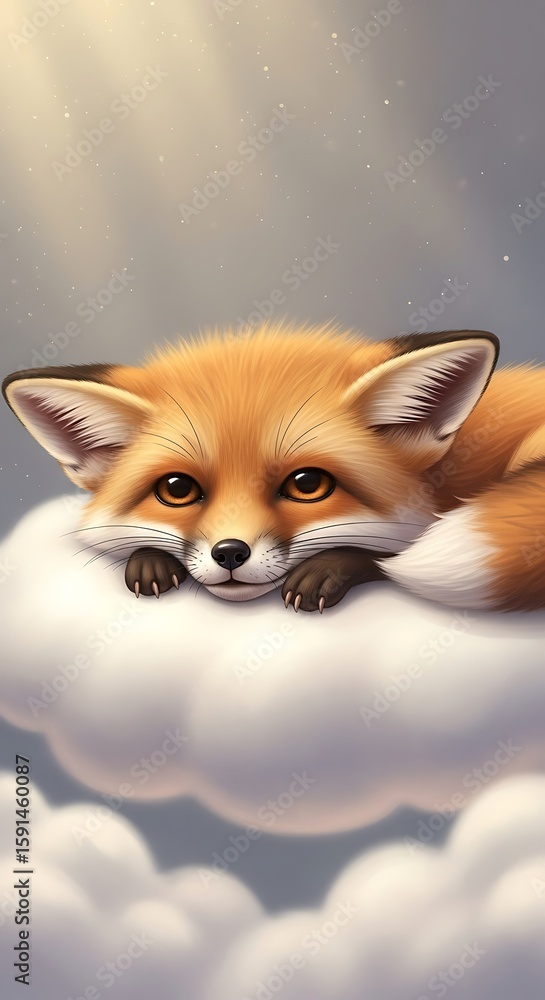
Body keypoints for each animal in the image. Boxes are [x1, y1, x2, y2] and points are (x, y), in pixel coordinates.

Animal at [3, 323, 545, 613]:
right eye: (176, 489)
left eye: (307, 484)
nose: (229, 553)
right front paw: (150, 560)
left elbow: (383, 551)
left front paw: (327, 569)